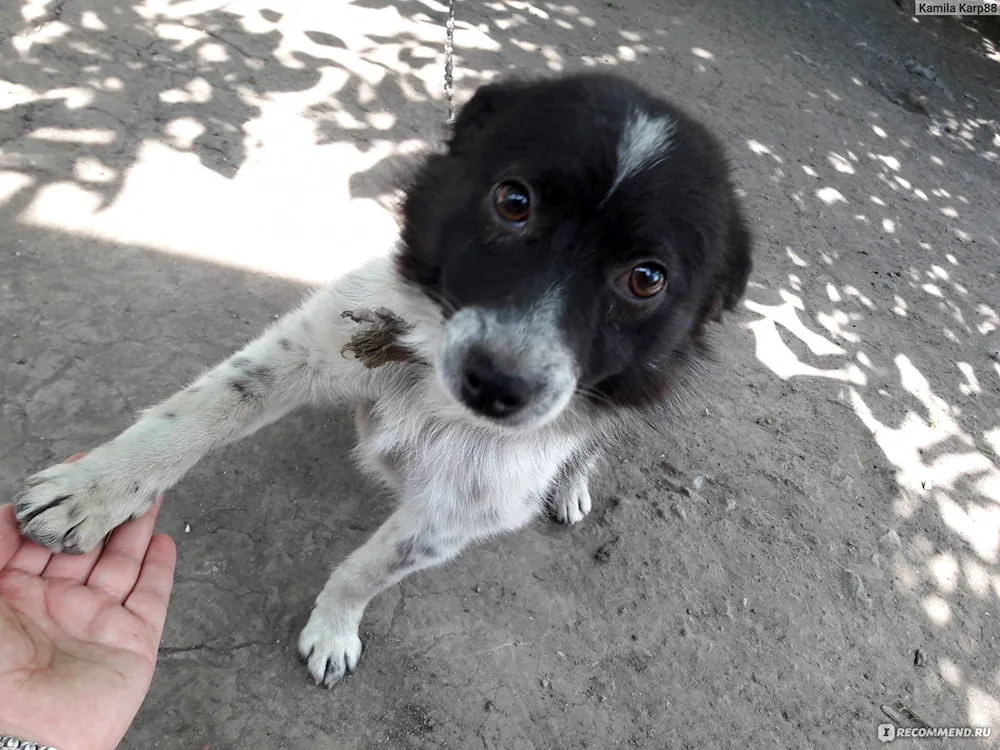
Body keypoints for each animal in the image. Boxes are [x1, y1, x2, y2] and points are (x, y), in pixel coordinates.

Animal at [13, 73, 752, 692]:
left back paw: (571, 484)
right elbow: (199, 411)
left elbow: (368, 568)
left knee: (593, 444)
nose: (497, 385)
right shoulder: (317, 346)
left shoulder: (462, 513)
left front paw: (333, 629)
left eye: (647, 278)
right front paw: (94, 489)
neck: (432, 396)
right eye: (514, 200)